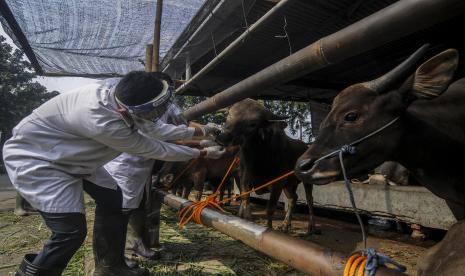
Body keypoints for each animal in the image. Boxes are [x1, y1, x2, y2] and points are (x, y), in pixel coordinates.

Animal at [216, 98, 318, 234]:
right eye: (229, 114)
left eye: (253, 124)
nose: (223, 137)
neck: (258, 159)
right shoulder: (244, 180)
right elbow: (245, 201)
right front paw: (247, 221)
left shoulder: (277, 184)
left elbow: (270, 209)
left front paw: (269, 228)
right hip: (289, 184)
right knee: (293, 198)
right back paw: (285, 224)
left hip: (306, 181)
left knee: (309, 199)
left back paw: (312, 227)